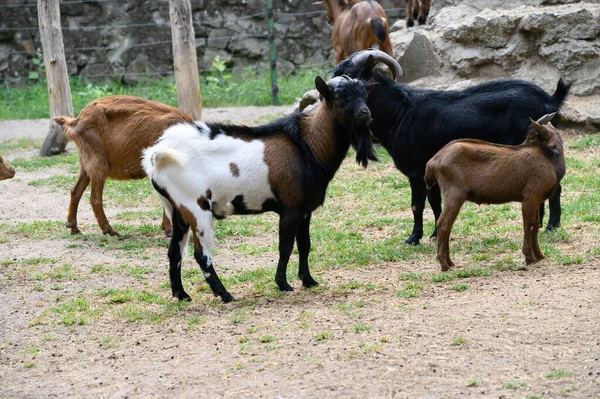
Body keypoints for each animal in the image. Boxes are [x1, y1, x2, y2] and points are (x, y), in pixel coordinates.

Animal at [142, 76, 376, 304]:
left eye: (364, 94)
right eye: (339, 96)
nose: (366, 113)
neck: (307, 145)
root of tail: (157, 154)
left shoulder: (305, 210)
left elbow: (305, 245)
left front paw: (308, 280)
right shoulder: (290, 209)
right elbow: (286, 246)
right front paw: (283, 284)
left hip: (177, 210)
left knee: (174, 252)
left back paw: (181, 294)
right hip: (195, 207)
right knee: (201, 254)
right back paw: (225, 294)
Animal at [332, 50, 572, 244]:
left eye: (353, 76)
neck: (400, 112)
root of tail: (549, 99)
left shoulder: (416, 171)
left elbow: (417, 205)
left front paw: (413, 238)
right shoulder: (430, 171)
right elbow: (435, 203)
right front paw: (435, 234)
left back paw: (551, 226)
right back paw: (539, 224)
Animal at [424, 114, 564, 274]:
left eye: (531, 136)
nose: (521, 144)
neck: (549, 158)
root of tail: (433, 161)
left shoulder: (538, 199)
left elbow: (535, 225)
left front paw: (539, 256)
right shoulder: (530, 197)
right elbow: (528, 225)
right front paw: (529, 257)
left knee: (447, 226)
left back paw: (450, 263)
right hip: (454, 193)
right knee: (443, 224)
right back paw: (444, 265)